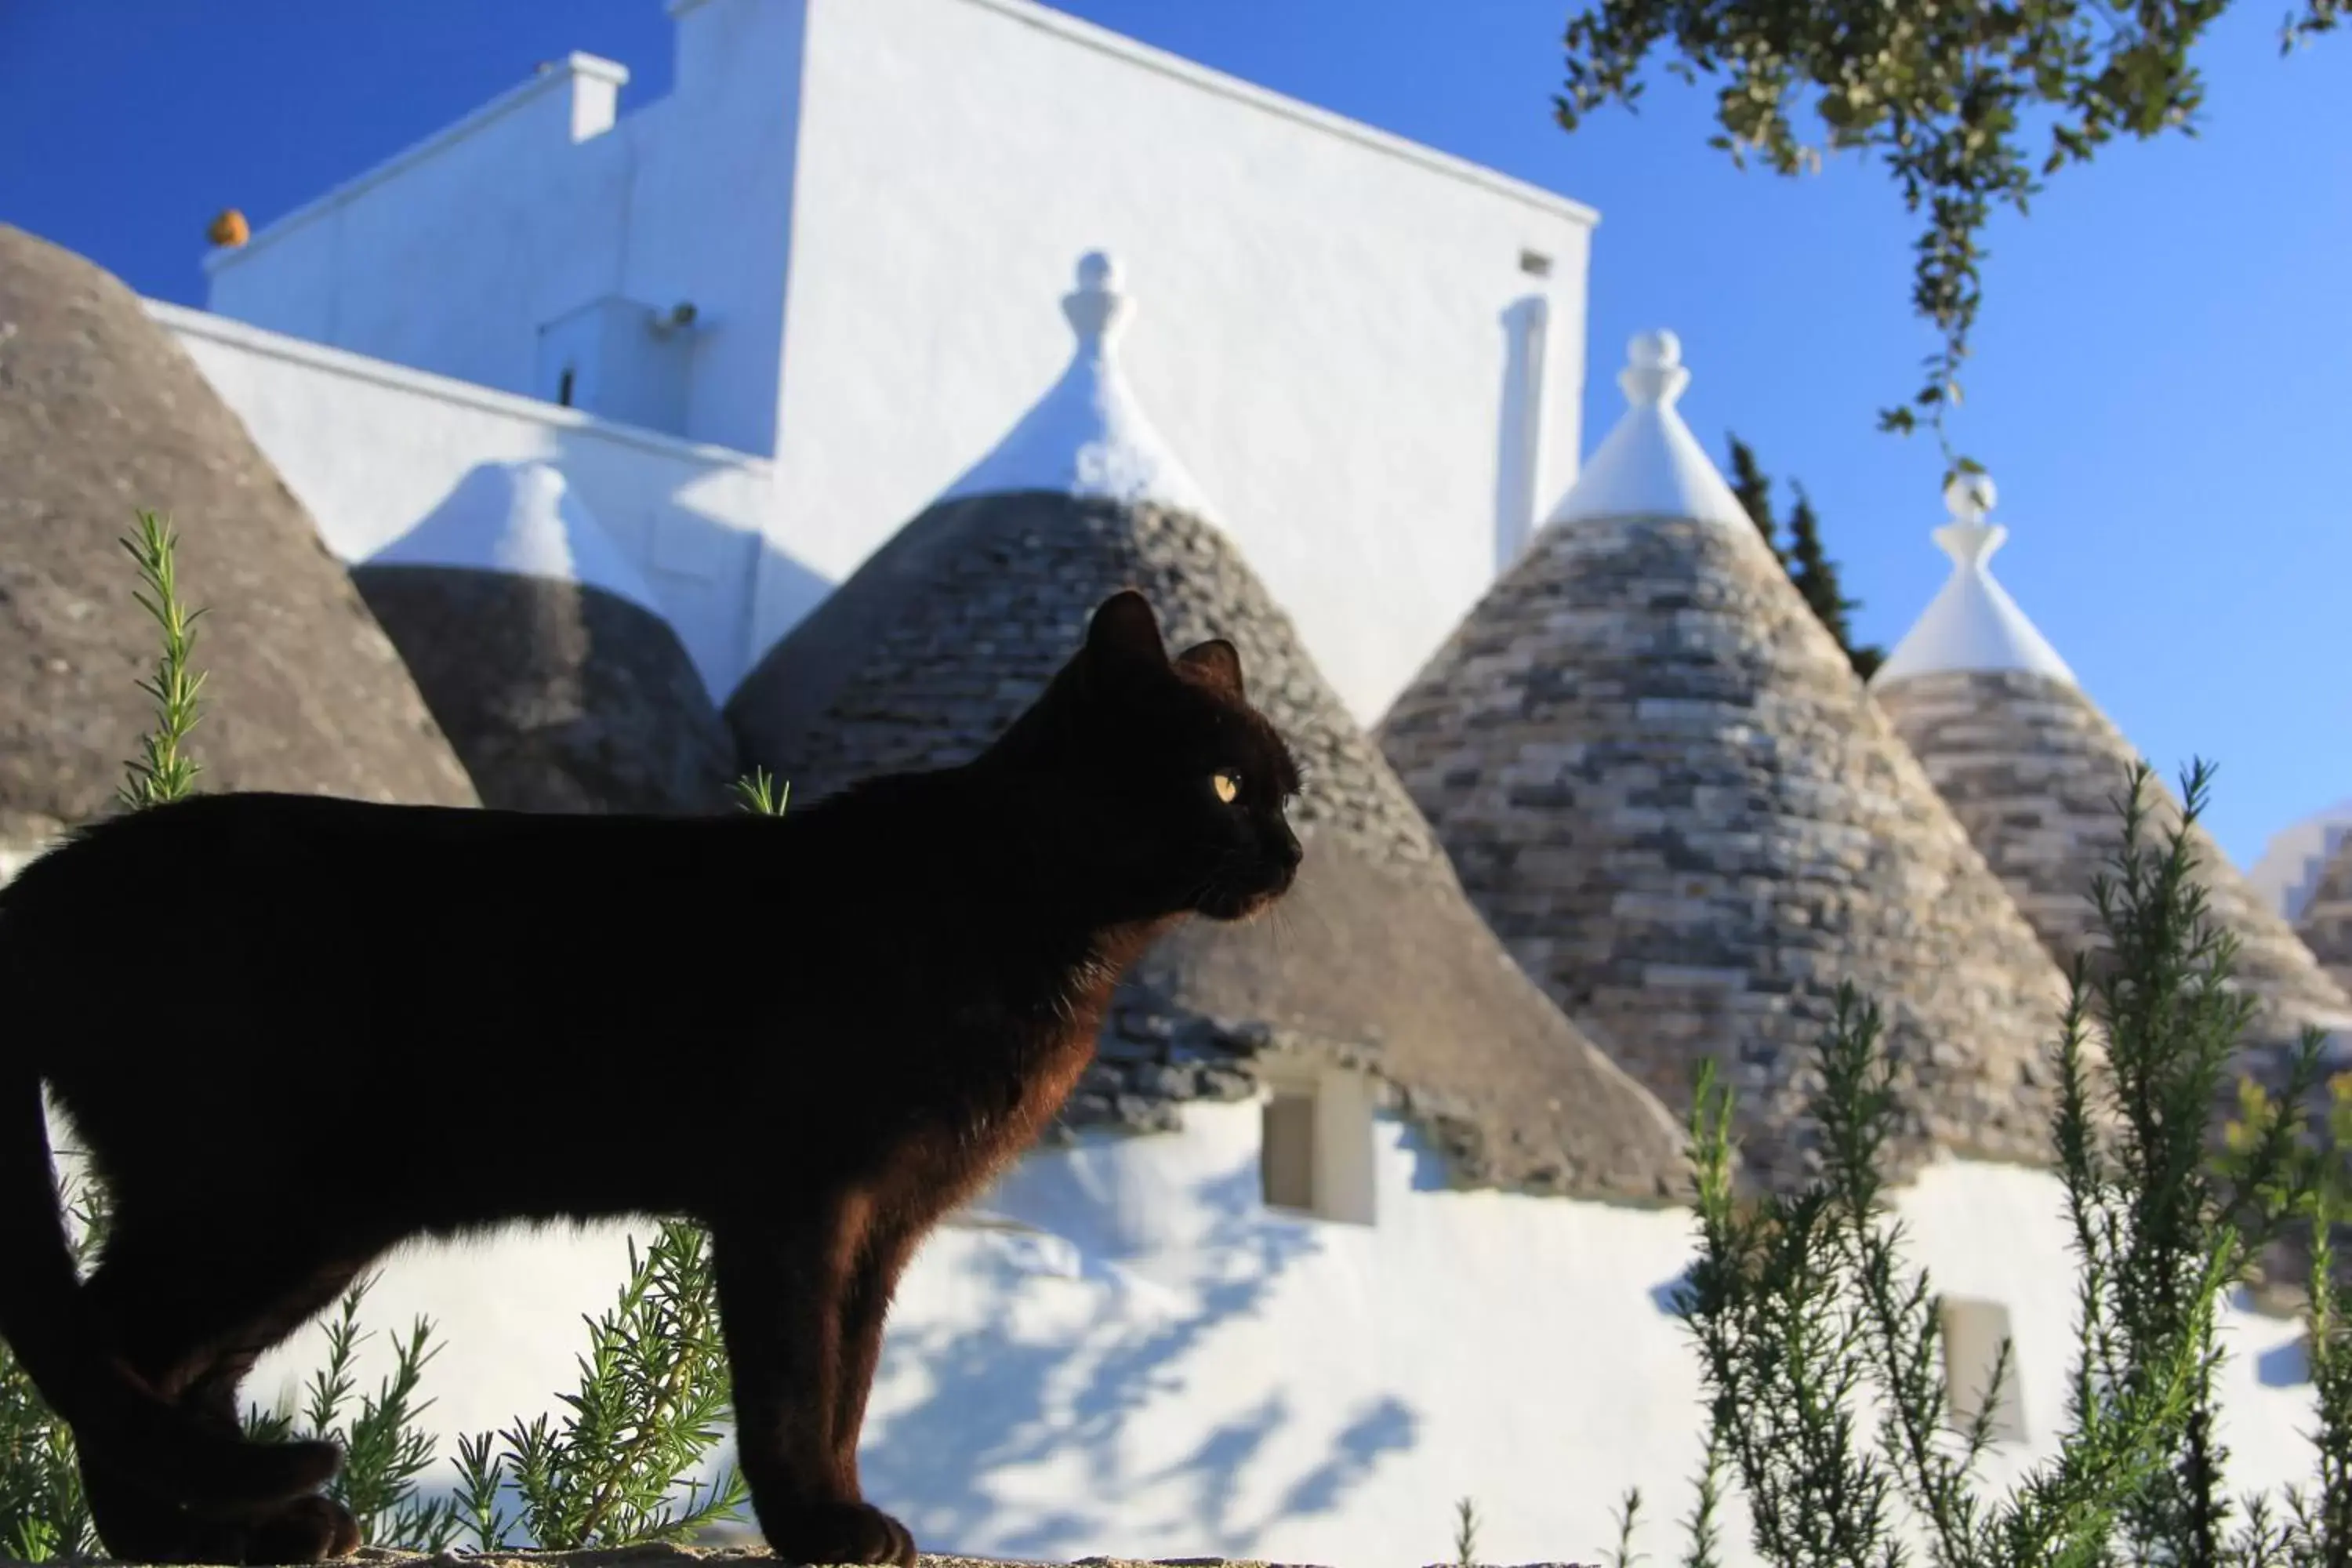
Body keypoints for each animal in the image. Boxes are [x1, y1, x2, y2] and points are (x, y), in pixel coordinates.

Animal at [0, 592, 1308, 1568]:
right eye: (1225, 787)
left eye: (1287, 790)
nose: (1295, 855)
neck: (1056, 926)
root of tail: (51, 879)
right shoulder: (798, 1204)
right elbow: (791, 1381)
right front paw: (819, 1528)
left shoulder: (887, 1226)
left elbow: (852, 1381)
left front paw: (848, 1514)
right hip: (264, 1205)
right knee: (116, 1345)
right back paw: (174, 1541)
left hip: (294, 1228)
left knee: (176, 1371)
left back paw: (269, 1530)